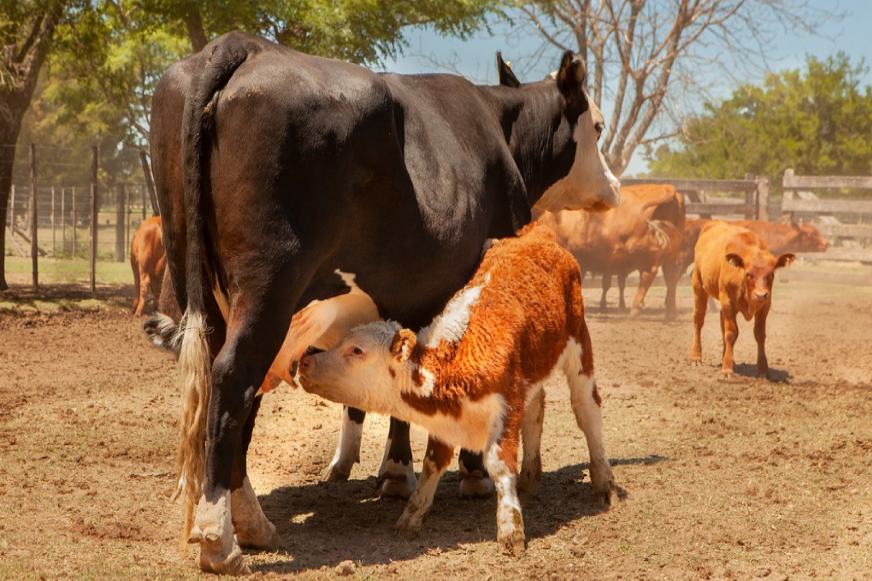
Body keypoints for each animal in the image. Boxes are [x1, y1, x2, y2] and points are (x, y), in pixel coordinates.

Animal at [153, 31, 620, 576]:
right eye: (599, 126)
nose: (615, 187)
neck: (499, 127)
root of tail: (243, 45)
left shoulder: (407, 302)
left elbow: (402, 387)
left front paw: (397, 472)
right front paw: (469, 472)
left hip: (205, 293)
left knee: (226, 389)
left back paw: (250, 521)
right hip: (269, 289)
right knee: (233, 381)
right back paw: (220, 537)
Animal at [540, 184, 688, 320]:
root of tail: (665, 187)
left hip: (643, 255)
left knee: (648, 275)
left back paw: (635, 309)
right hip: (671, 254)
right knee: (671, 277)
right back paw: (671, 312)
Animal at [692, 220, 792, 378]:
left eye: (771, 274)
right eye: (748, 273)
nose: (760, 295)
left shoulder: (765, 305)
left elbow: (760, 334)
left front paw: (763, 369)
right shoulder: (728, 301)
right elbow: (731, 333)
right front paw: (727, 368)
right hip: (698, 287)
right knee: (699, 320)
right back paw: (696, 357)